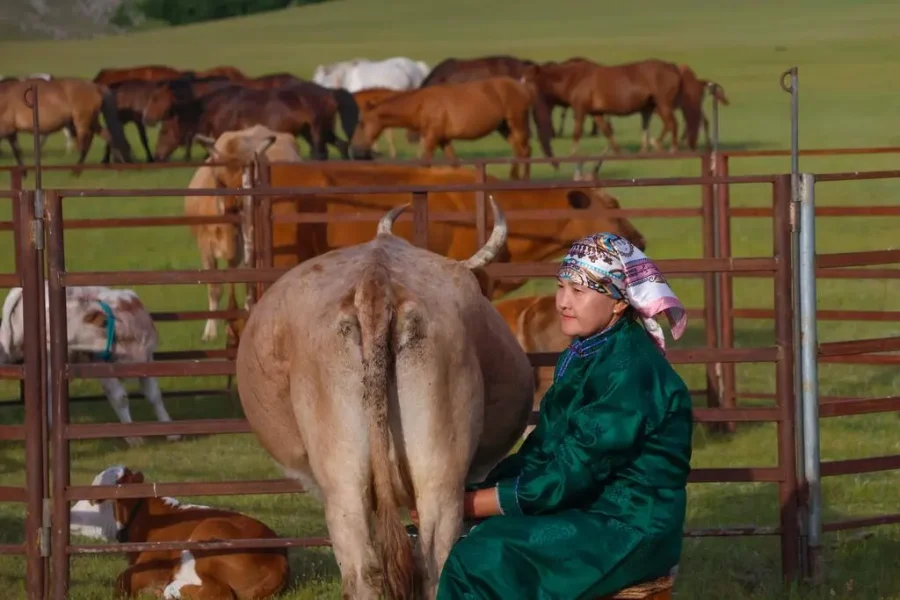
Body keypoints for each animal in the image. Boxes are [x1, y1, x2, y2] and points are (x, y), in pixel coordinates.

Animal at [0, 285, 176, 447]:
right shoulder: (101, 364)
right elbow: (120, 398)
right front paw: (133, 437)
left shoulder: (147, 359)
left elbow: (154, 395)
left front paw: (170, 430)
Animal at [83, 465, 289, 599]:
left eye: (98, 499)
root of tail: (279, 561)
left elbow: (121, 580)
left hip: (207, 533)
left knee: (218, 593)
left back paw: (171, 590)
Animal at [186, 125, 304, 342]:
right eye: (219, 179)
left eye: (243, 180)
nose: (232, 207)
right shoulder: (205, 244)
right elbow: (214, 287)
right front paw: (210, 331)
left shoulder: (245, 245)